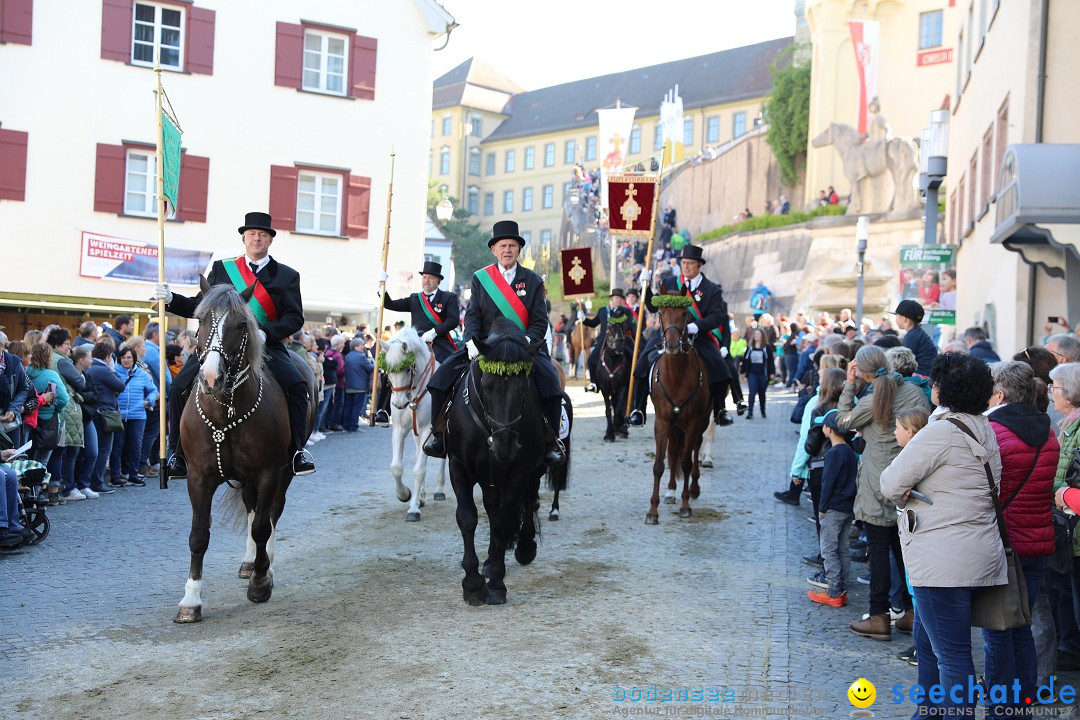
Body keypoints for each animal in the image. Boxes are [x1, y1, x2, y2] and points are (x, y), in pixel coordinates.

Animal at [382, 328, 444, 524]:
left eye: (407, 368)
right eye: (387, 371)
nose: (398, 404)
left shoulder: (427, 430)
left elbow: (419, 470)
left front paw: (413, 509)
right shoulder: (400, 429)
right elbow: (396, 467)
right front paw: (405, 495)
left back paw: (439, 490)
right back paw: (422, 496)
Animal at [447, 317, 565, 604]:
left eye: (524, 389)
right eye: (486, 386)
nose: (506, 446)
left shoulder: (521, 470)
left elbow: (503, 521)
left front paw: (497, 585)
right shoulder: (458, 465)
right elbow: (468, 517)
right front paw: (473, 584)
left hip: (533, 468)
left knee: (529, 501)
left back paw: (524, 547)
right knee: (492, 507)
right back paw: (490, 561)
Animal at [643, 293, 712, 524]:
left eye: (684, 314)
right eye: (661, 313)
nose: (672, 344)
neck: (676, 377)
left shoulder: (692, 423)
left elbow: (686, 463)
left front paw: (685, 505)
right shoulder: (662, 422)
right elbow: (658, 465)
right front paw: (652, 511)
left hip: (701, 421)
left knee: (695, 449)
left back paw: (693, 488)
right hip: (674, 426)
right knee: (673, 451)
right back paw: (671, 491)